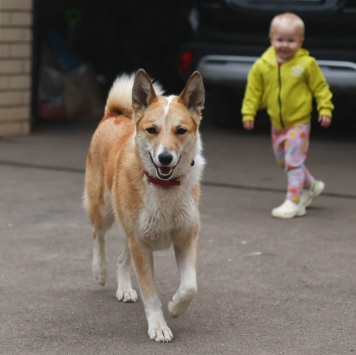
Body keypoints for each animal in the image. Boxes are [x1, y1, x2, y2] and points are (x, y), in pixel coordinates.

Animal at [83, 68, 204, 344]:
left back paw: (125, 289)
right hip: (105, 211)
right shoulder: (140, 244)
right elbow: (151, 294)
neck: (164, 187)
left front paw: (175, 307)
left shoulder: (185, 238)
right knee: (97, 235)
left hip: (132, 232)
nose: (165, 158)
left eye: (180, 130)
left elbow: (190, 287)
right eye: (152, 129)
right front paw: (158, 326)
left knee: (120, 256)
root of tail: (114, 115)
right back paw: (100, 271)